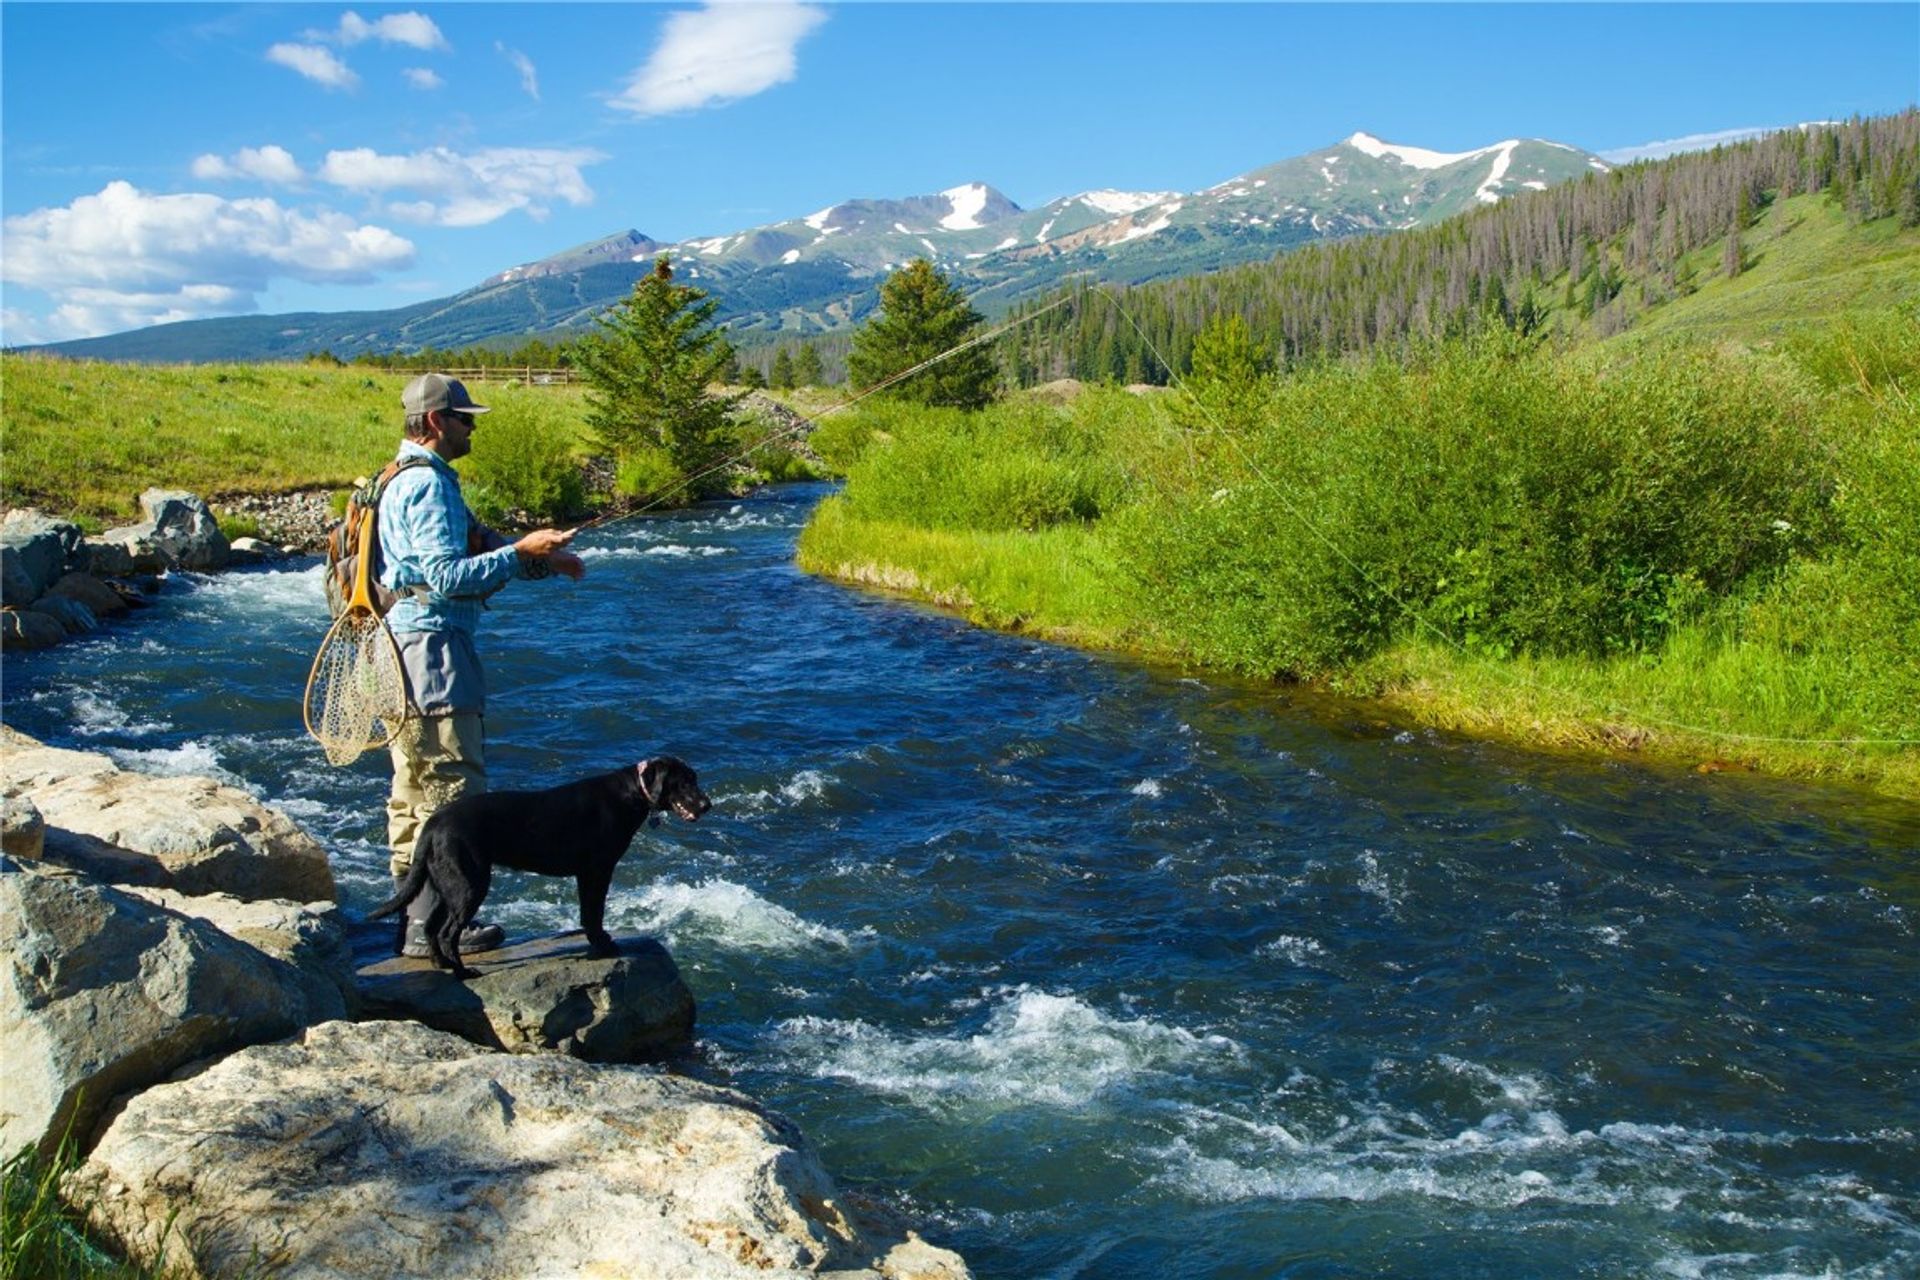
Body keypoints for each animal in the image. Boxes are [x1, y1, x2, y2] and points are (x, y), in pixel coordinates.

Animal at [370, 756, 710, 974]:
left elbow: (588, 914)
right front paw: (603, 945)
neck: (631, 792)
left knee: (430, 926)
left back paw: (441, 966)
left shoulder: (587, 873)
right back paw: (462, 972)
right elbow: (594, 913)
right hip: (470, 884)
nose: (707, 805)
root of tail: (433, 823)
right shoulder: (597, 870)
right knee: (447, 932)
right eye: (685, 782)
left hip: (447, 884)